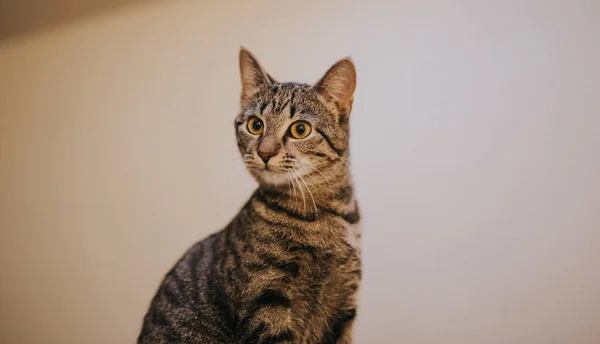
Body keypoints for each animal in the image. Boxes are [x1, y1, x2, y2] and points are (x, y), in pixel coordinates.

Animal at [140, 47, 360, 342]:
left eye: (300, 129)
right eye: (256, 125)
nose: (265, 152)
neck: (322, 213)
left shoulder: (344, 305)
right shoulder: (264, 302)